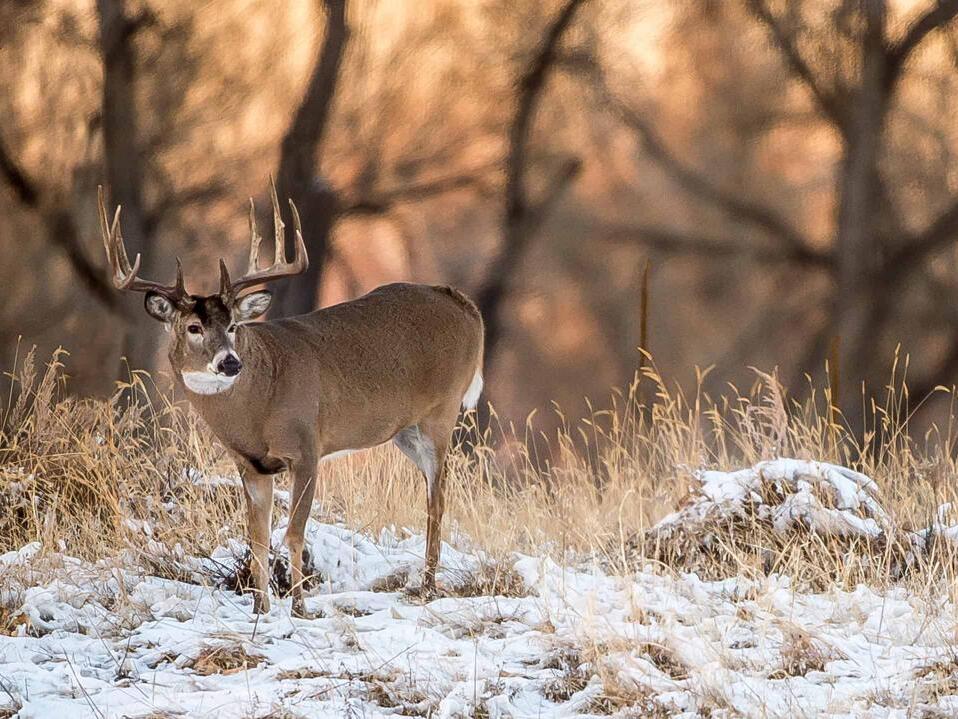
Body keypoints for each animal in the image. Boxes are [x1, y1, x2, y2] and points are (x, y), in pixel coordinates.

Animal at [98, 182, 484, 616]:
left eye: (233, 325)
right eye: (194, 327)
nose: (230, 362)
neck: (260, 406)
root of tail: (464, 303)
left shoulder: (307, 448)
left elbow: (294, 534)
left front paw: (299, 606)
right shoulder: (251, 466)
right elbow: (257, 538)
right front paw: (260, 608)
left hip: (442, 411)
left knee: (438, 501)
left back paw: (428, 587)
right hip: (405, 430)